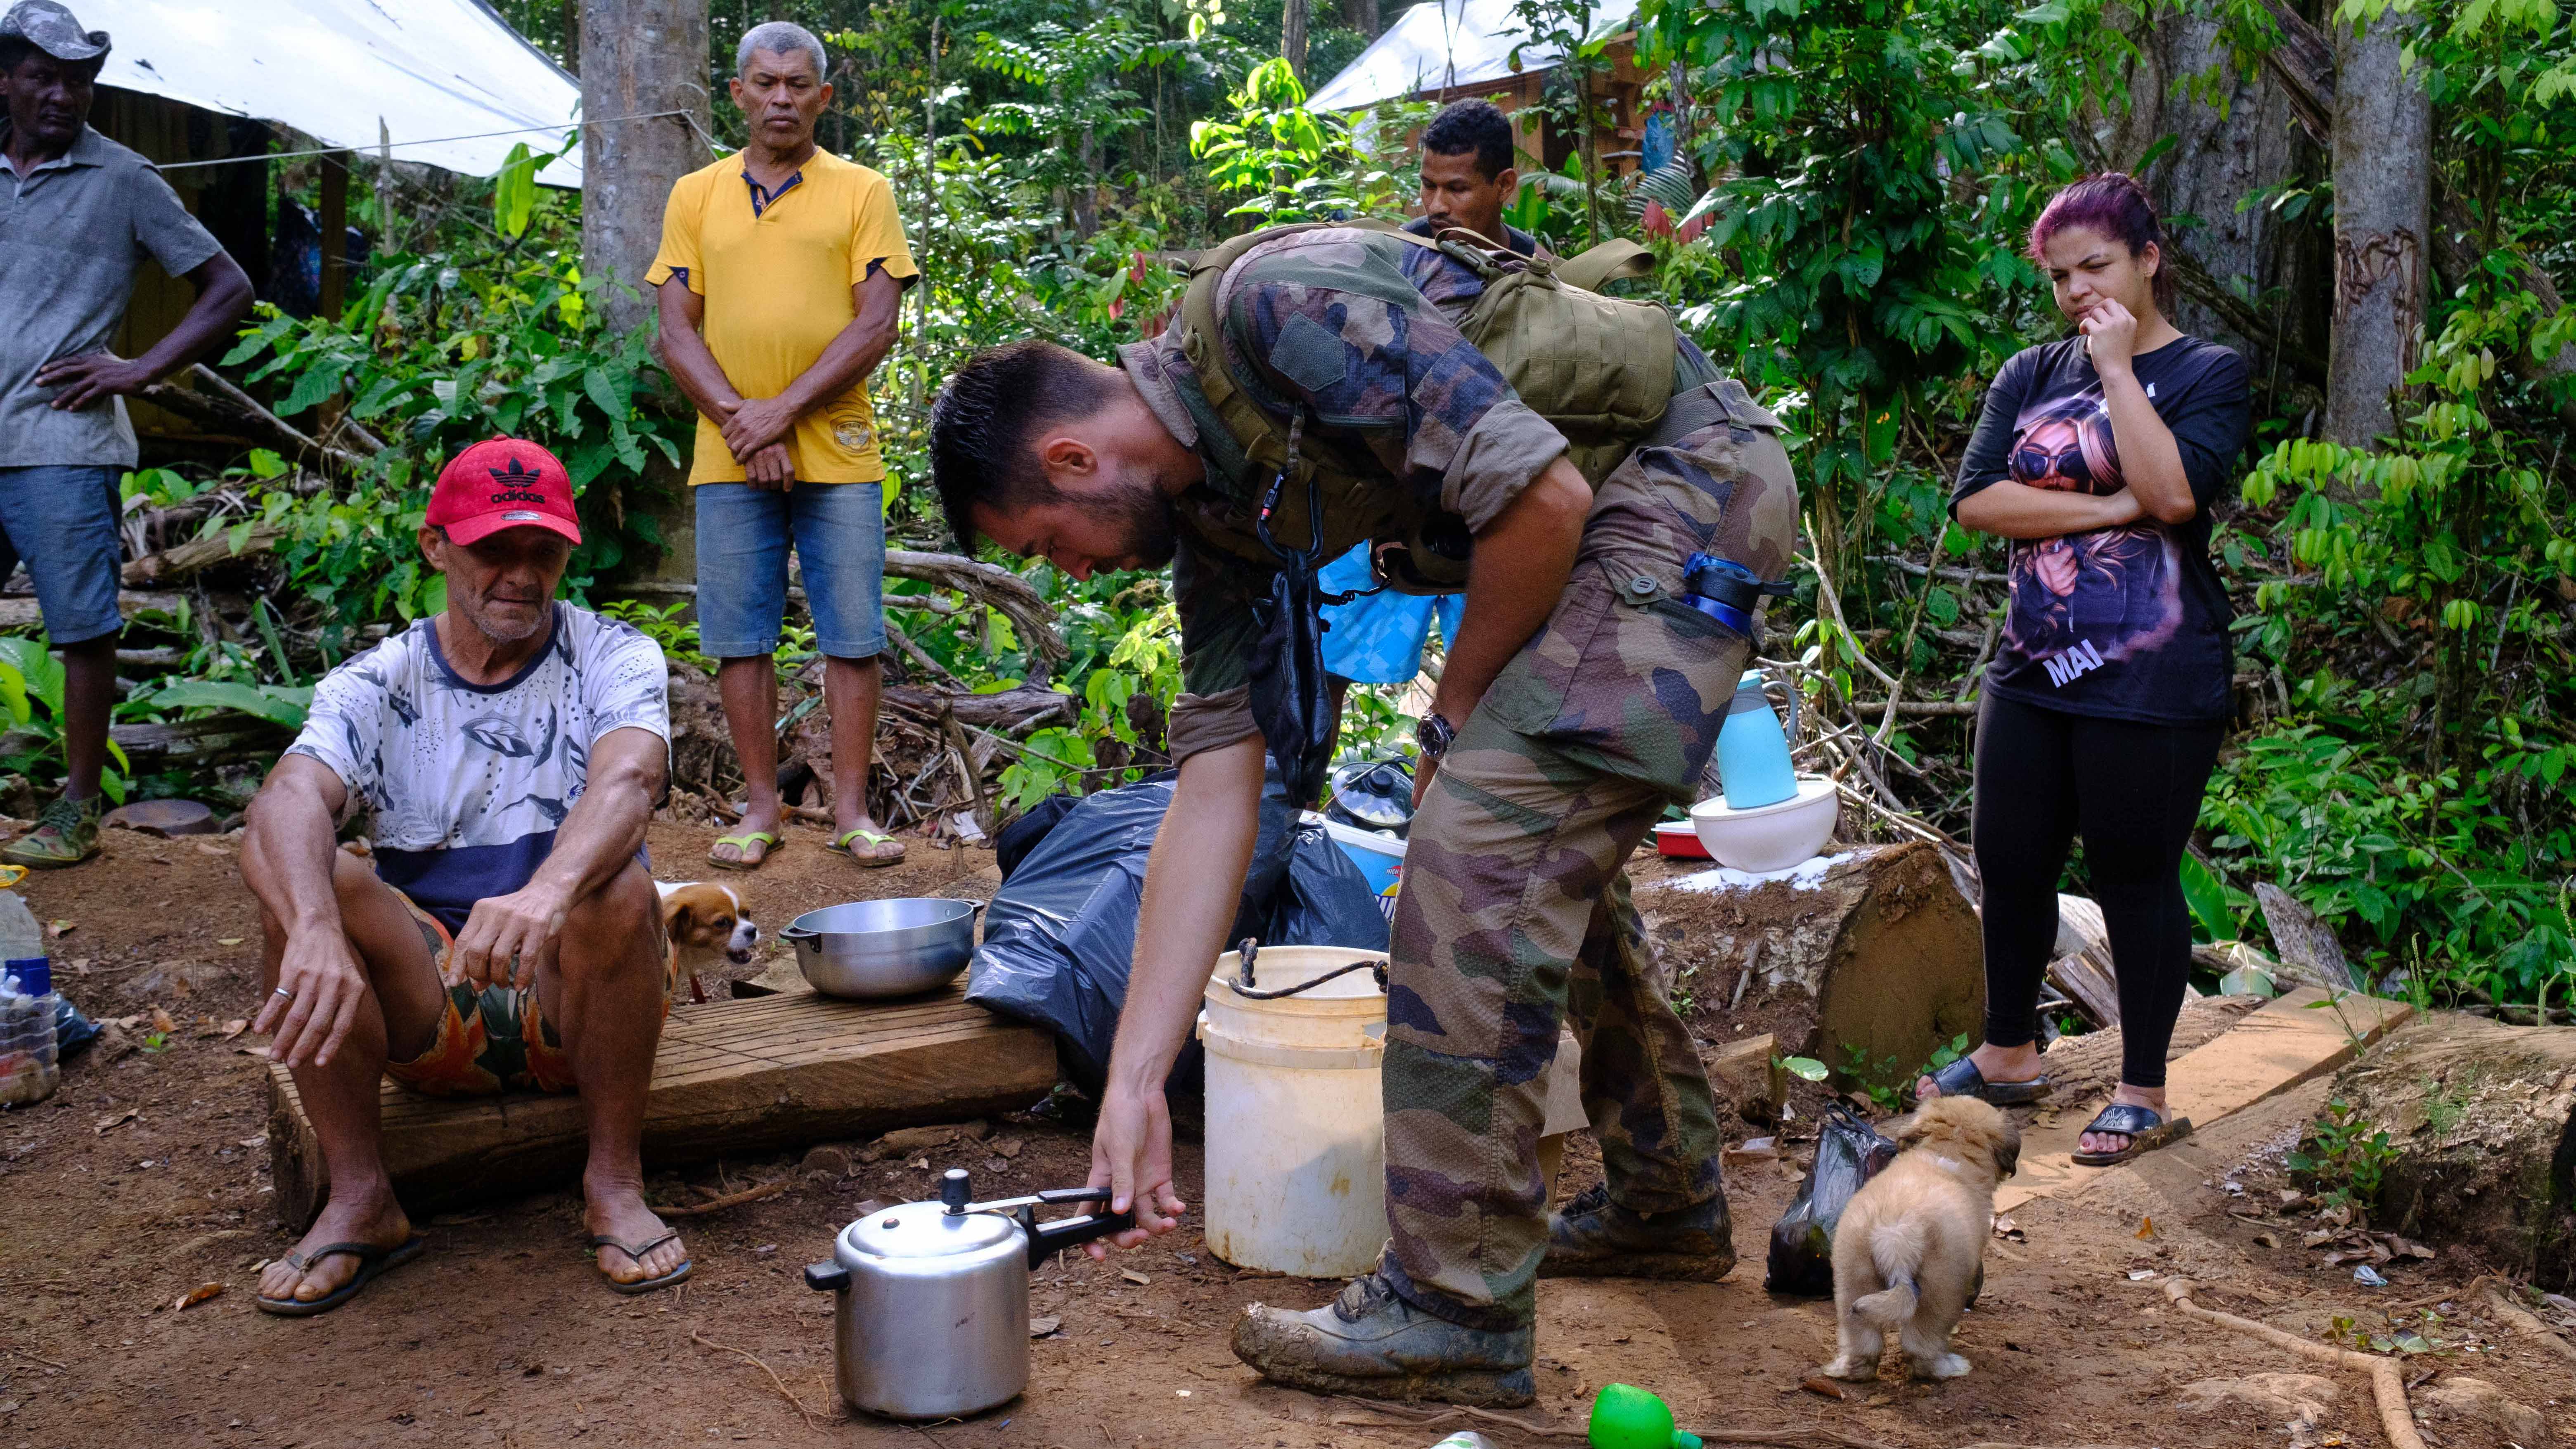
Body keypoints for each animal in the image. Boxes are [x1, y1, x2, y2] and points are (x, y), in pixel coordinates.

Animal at [1823, 1093, 2020, 1371]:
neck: (1948, 1149)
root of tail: (1896, 1233)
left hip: (1854, 1274)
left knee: (1862, 1339)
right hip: (1941, 1287)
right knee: (1922, 1342)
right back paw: (1948, 1368)